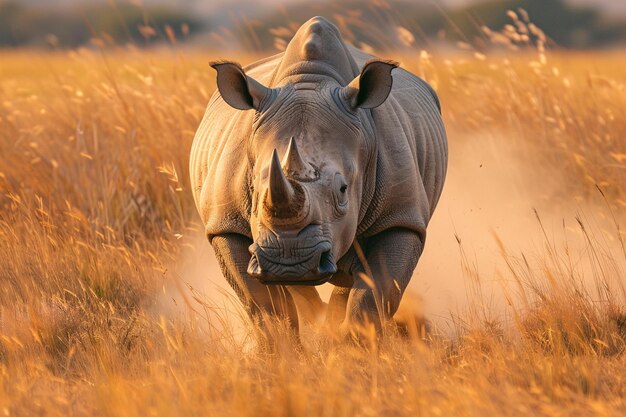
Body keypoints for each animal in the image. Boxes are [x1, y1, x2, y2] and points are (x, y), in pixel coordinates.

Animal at [188, 16, 446, 336]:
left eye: (343, 190)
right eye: (254, 188)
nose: (291, 260)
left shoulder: (400, 219)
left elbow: (372, 299)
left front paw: (353, 345)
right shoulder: (226, 225)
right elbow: (265, 306)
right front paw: (284, 347)